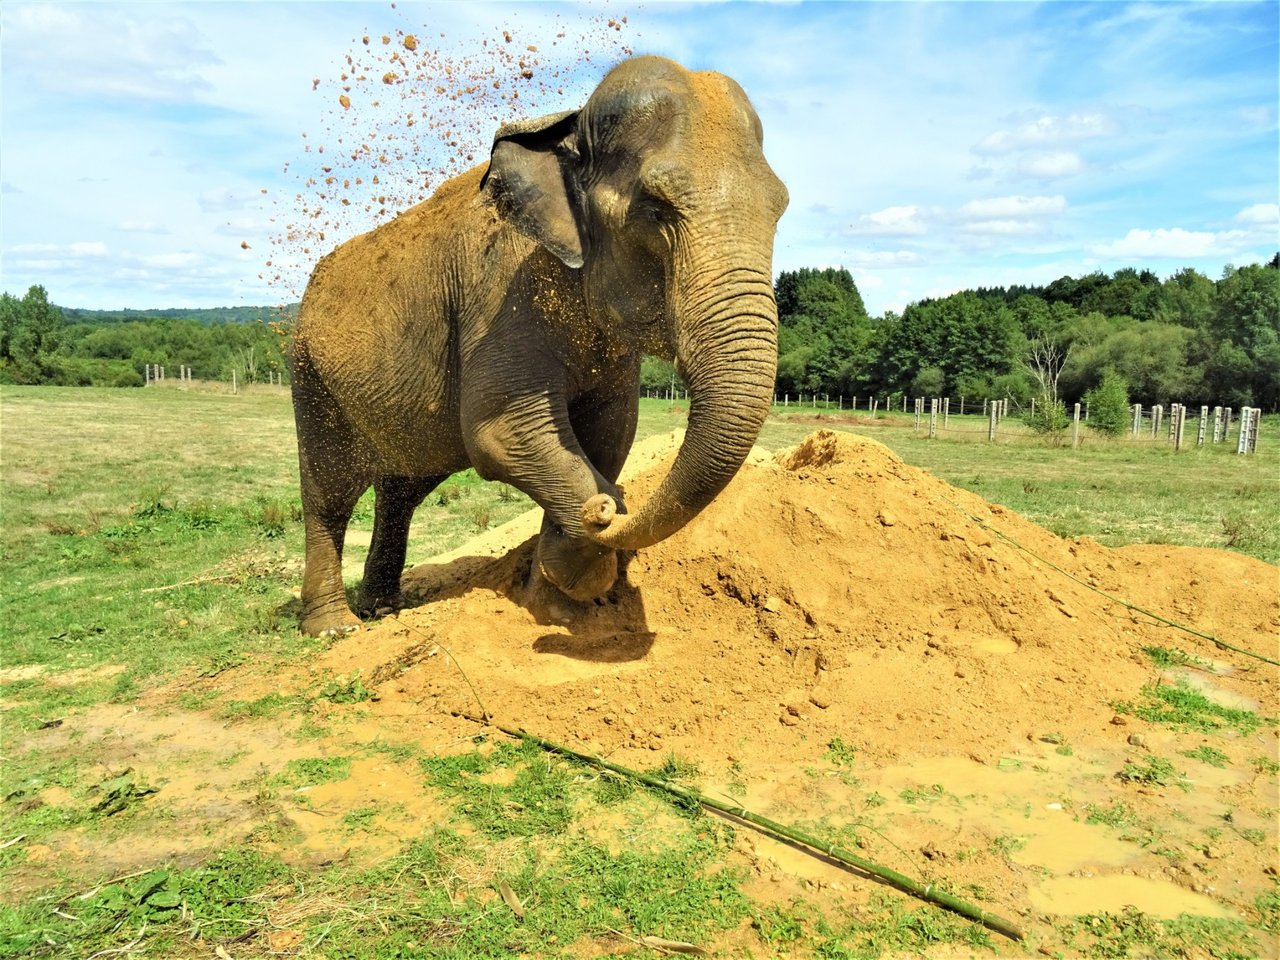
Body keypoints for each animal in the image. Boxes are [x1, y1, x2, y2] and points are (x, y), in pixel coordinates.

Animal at [291, 54, 788, 640]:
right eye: (654, 209)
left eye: (780, 208)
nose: (606, 509)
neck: (567, 127)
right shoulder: (502, 296)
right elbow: (504, 431)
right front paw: (580, 568)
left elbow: (608, 431)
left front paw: (561, 583)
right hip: (311, 378)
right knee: (329, 495)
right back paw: (335, 628)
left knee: (402, 488)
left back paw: (384, 610)